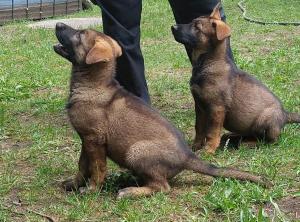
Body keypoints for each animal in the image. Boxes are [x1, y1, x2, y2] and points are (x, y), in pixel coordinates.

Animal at [54, 22, 272, 199]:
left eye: (80, 34)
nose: (58, 24)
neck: (94, 85)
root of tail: (187, 156)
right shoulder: (86, 140)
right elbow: (83, 166)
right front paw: (74, 184)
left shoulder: (94, 139)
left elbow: (97, 169)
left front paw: (92, 190)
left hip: (135, 152)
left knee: (162, 187)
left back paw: (131, 191)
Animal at [171, 3, 300, 154]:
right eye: (192, 22)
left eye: (197, 27)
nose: (173, 27)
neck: (208, 63)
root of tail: (286, 114)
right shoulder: (200, 106)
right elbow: (199, 129)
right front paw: (195, 146)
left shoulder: (216, 108)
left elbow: (211, 132)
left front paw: (209, 150)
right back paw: (232, 136)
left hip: (265, 119)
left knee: (267, 141)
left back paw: (247, 143)